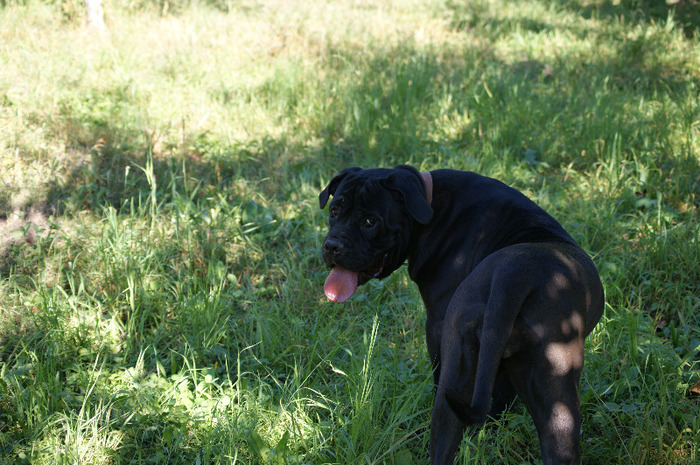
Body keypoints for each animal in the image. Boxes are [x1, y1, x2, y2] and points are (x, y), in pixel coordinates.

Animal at [320, 166, 604, 464]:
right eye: (334, 211)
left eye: (370, 222)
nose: (332, 246)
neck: (428, 204)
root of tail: (513, 274)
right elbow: (499, 397)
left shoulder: (436, 327)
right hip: (551, 393)